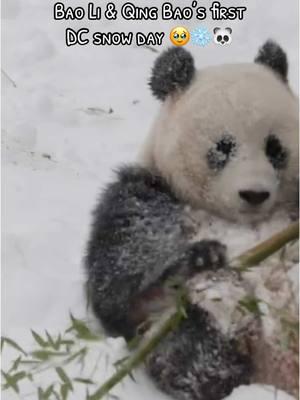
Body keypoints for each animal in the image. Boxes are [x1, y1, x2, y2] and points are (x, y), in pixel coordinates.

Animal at [85, 41, 298, 400]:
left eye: (274, 147)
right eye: (224, 146)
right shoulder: (146, 194)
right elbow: (118, 279)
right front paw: (200, 256)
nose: (254, 194)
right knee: (194, 354)